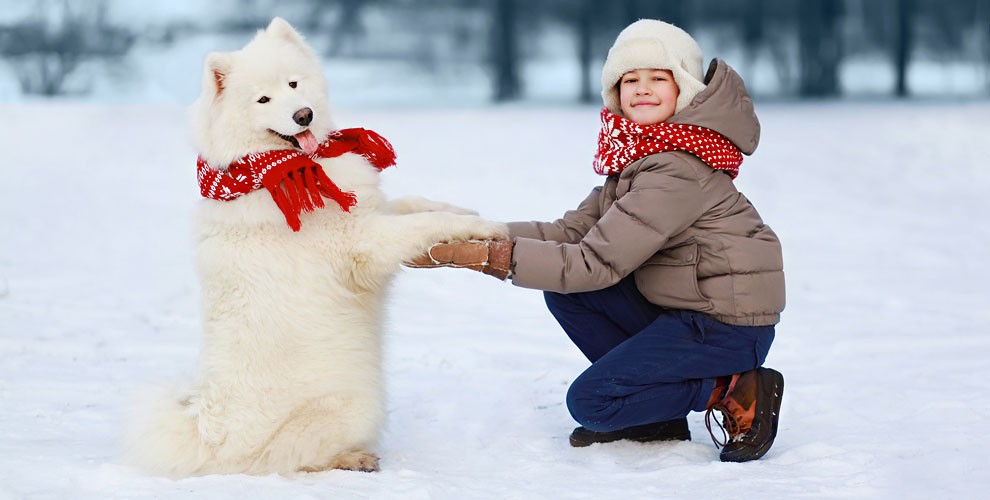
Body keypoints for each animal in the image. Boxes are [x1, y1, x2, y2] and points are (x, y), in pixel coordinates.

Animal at [123, 17, 508, 478]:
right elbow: (423, 223)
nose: (302, 114)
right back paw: (353, 458)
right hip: (355, 405)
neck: (286, 168)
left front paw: (462, 210)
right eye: (264, 98)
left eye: (294, 83)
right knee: (294, 461)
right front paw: (483, 227)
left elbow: (416, 205)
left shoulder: (370, 211)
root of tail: (208, 436)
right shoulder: (362, 243)